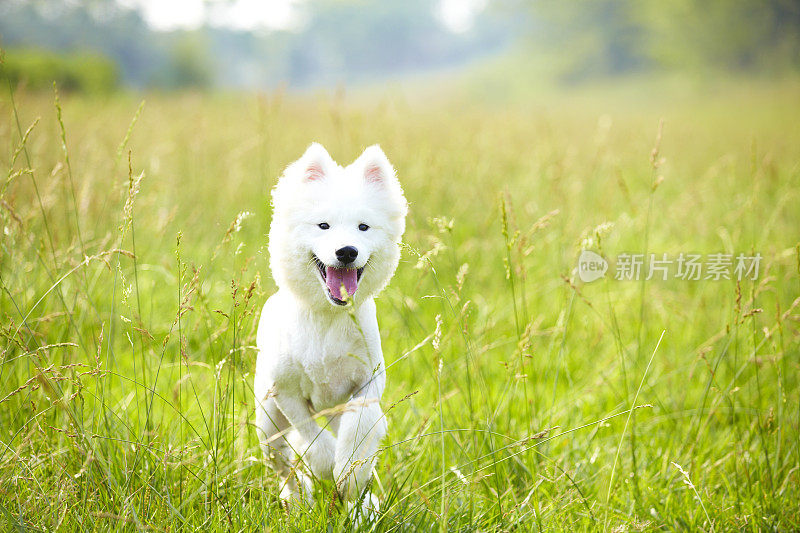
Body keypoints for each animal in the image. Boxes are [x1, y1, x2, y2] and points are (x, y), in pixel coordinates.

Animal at [255, 141, 406, 512]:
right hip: (267, 421)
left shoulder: (367, 385)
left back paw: (362, 507)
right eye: (323, 226)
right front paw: (327, 469)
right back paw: (298, 500)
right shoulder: (287, 393)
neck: (328, 317)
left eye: (363, 227)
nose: (347, 251)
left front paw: (351, 476)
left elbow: (359, 429)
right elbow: (311, 440)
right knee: (283, 463)